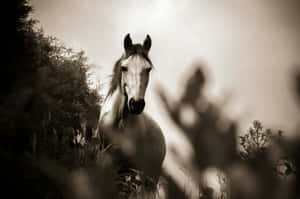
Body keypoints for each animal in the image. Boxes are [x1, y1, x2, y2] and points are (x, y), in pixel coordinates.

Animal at [96, 33, 166, 196]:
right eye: (124, 68)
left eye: (148, 69)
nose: (136, 104)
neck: (118, 122)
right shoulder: (103, 156)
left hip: (148, 179)